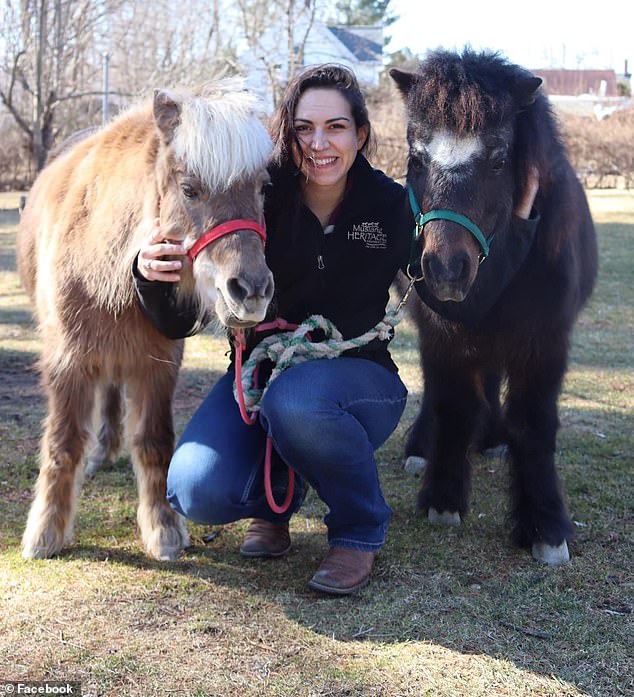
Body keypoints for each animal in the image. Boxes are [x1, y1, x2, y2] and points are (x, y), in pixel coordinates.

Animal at [18, 80, 272, 560]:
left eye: (262, 188)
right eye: (190, 189)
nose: (251, 291)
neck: (106, 270)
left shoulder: (158, 363)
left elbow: (154, 441)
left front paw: (164, 530)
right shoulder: (67, 362)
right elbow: (63, 443)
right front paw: (45, 534)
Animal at [390, 49, 596, 564]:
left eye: (500, 159)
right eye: (415, 158)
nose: (446, 269)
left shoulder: (543, 341)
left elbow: (533, 423)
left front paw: (546, 528)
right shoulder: (443, 334)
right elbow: (453, 405)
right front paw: (442, 498)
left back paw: (495, 439)